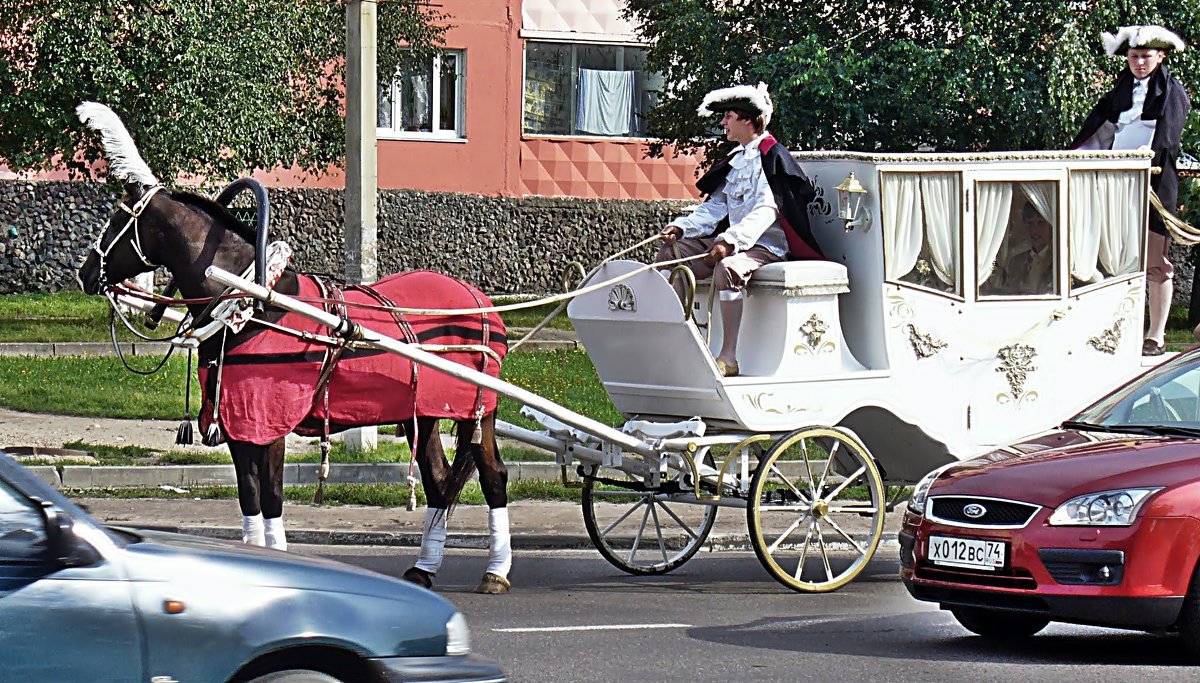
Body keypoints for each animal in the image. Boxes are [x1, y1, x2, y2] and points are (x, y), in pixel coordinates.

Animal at [73, 101, 516, 590]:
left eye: (118, 219)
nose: (85, 271)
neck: (255, 303)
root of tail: (480, 302)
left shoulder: (266, 423)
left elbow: (270, 498)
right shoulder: (238, 426)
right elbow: (250, 498)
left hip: (480, 411)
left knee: (494, 477)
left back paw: (496, 571)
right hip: (425, 412)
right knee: (438, 481)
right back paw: (423, 568)